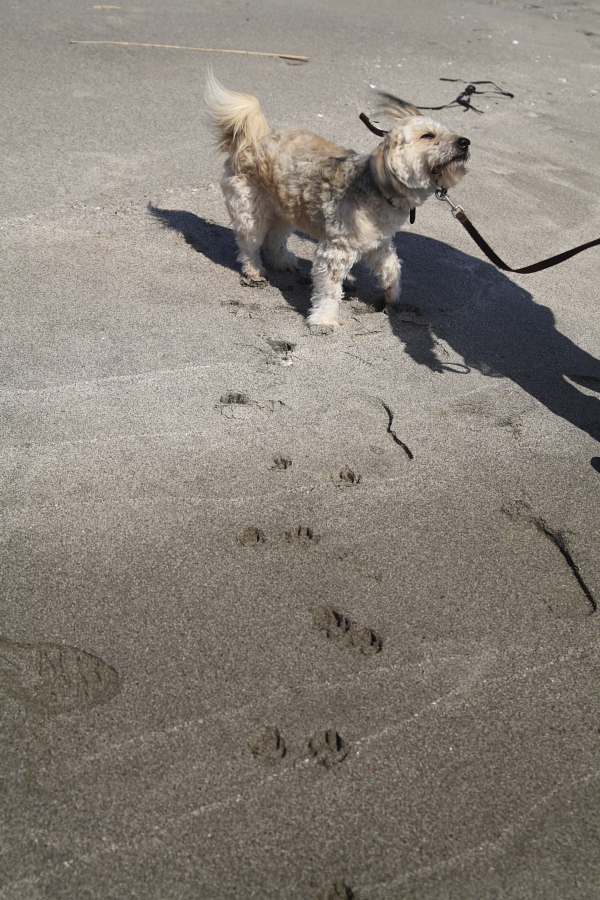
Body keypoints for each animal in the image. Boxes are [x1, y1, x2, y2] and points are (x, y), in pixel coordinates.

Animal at [204, 74, 472, 326]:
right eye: (428, 136)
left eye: (448, 133)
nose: (465, 142)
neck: (379, 187)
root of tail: (251, 140)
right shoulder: (336, 250)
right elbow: (330, 290)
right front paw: (324, 319)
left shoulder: (378, 242)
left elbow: (391, 266)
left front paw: (391, 295)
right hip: (251, 210)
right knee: (249, 243)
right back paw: (254, 271)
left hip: (285, 209)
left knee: (274, 239)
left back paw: (283, 262)